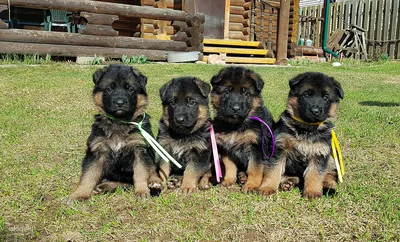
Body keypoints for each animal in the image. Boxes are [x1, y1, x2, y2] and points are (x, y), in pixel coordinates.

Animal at [69, 63, 161, 201]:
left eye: (130, 89)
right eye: (109, 89)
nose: (120, 103)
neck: (119, 122)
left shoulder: (140, 150)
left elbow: (141, 172)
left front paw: (142, 191)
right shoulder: (97, 151)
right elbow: (88, 176)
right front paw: (80, 194)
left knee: (152, 170)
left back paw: (154, 183)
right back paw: (102, 187)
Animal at [272, 72, 344, 200]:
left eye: (326, 98)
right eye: (306, 95)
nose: (315, 111)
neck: (306, 129)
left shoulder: (319, 153)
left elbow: (315, 174)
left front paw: (312, 192)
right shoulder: (281, 147)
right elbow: (275, 170)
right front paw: (267, 188)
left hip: (331, 158)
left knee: (330, 175)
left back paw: (329, 187)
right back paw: (288, 182)